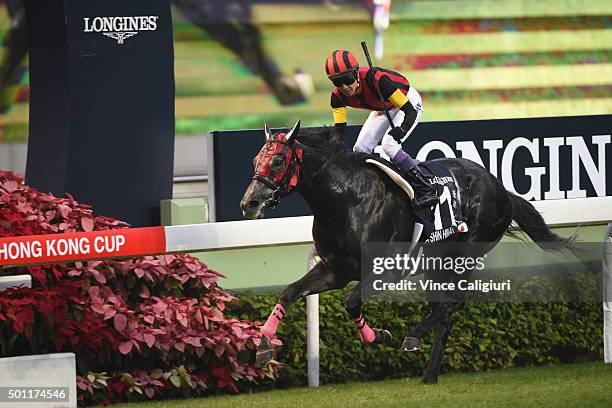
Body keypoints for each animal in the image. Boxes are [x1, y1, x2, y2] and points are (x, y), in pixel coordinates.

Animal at [239, 120, 572, 382]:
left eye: (278, 160)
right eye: (255, 159)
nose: (249, 203)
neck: (345, 199)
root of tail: (501, 188)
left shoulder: (385, 270)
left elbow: (350, 302)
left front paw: (378, 335)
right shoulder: (334, 270)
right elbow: (290, 291)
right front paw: (263, 346)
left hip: (465, 254)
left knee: (452, 302)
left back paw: (413, 337)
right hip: (437, 265)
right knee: (445, 311)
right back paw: (430, 374)